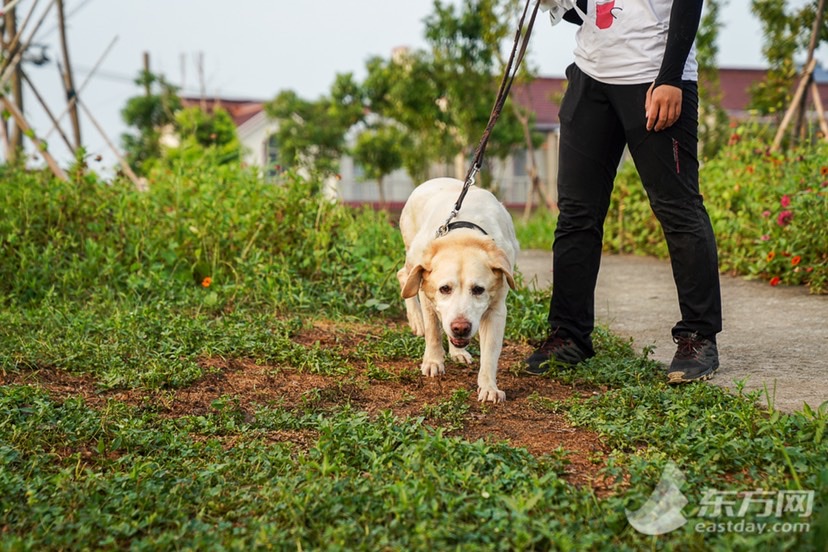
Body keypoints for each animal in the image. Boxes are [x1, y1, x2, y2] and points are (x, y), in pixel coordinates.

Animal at [396, 177, 516, 402]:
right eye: (444, 288)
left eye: (478, 289)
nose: (461, 327)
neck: (463, 236)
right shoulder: (426, 291)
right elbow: (433, 331)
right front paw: (433, 361)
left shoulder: (496, 310)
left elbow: (490, 352)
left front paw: (489, 387)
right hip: (412, 259)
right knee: (403, 277)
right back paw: (416, 321)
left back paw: (457, 352)